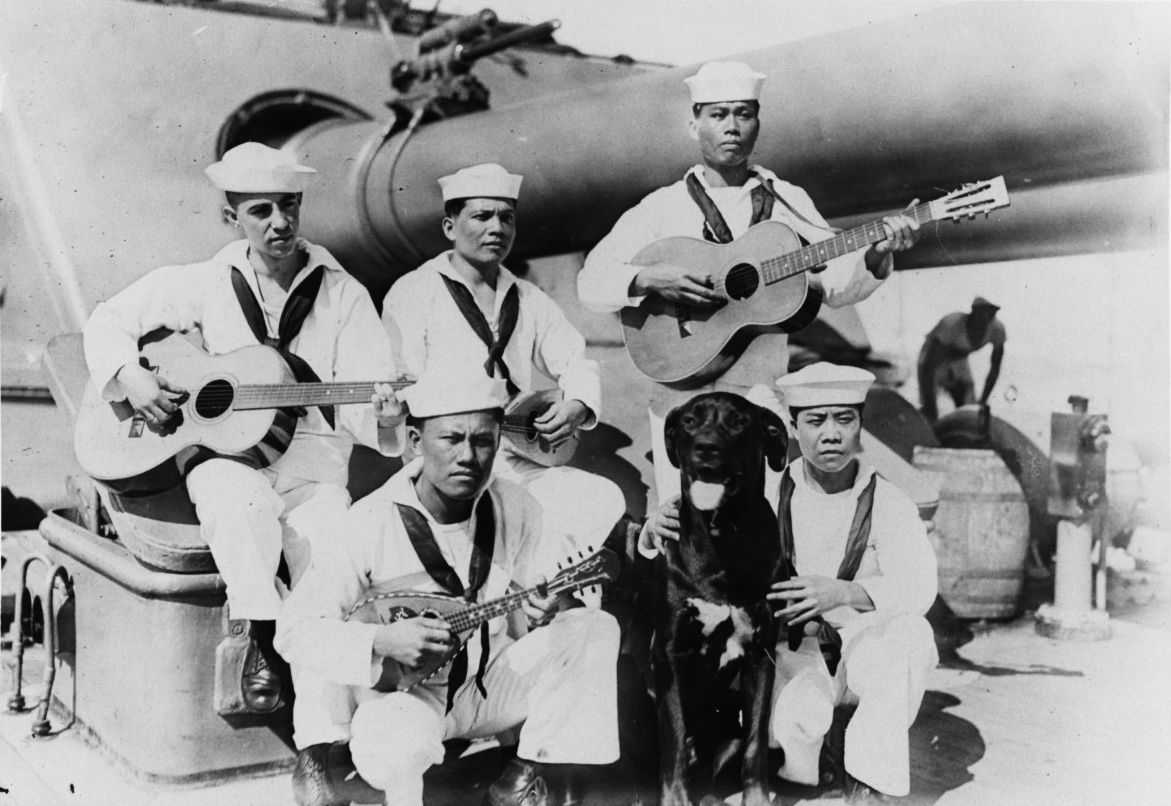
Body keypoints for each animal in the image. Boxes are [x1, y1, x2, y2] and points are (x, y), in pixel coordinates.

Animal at [651, 393, 786, 806]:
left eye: (740, 422)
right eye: (689, 421)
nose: (706, 447)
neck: (723, 536)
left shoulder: (761, 653)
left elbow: (756, 740)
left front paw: (756, 798)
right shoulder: (671, 653)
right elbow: (675, 742)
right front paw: (675, 800)